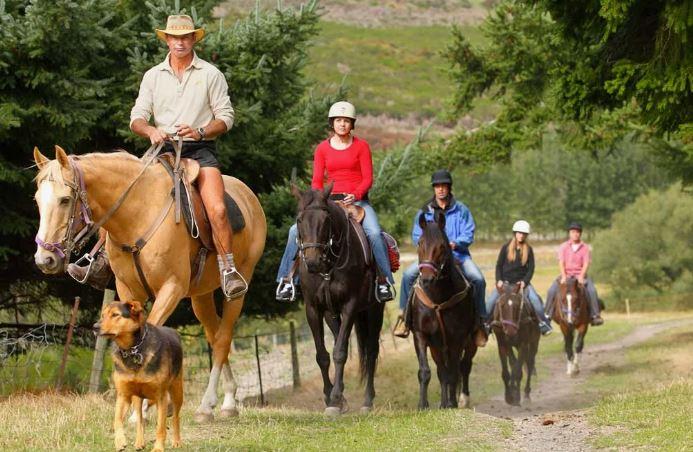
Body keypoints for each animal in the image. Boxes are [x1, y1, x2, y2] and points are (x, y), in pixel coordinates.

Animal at [33, 145, 266, 422]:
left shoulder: (171, 289)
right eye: (37, 200)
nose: (45, 259)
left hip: (238, 288)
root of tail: (248, 196)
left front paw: (142, 409)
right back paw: (226, 398)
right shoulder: (128, 291)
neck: (137, 215)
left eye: (65, 200)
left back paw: (212, 405)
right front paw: (141, 408)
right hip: (201, 296)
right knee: (215, 334)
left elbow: (147, 340)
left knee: (222, 339)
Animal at [95, 301, 183, 451]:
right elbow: (117, 420)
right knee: (140, 420)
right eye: (103, 315)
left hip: (176, 391)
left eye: (115, 315)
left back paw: (177, 441)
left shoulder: (161, 396)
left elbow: (160, 427)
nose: (94, 327)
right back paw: (139, 442)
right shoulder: (123, 395)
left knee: (175, 417)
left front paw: (158, 448)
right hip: (137, 398)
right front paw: (120, 442)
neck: (132, 349)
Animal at [293, 185, 384, 416]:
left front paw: (334, 398)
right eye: (299, 219)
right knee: (338, 340)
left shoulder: (349, 306)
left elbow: (341, 353)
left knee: (371, 351)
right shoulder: (314, 309)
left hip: (374, 311)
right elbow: (323, 355)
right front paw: (331, 397)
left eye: (326, 220)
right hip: (332, 314)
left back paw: (367, 400)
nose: (313, 261)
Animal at [410, 211, 477, 409]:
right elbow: (426, 371)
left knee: (463, 366)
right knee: (442, 371)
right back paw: (443, 403)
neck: (437, 300)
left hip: (469, 343)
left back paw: (459, 399)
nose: (427, 279)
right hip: (437, 347)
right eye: (420, 243)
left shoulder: (457, 338)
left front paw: (452, 404)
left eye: (441, 245)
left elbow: (454, 372)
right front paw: (422, 405)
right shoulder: (421, 335)